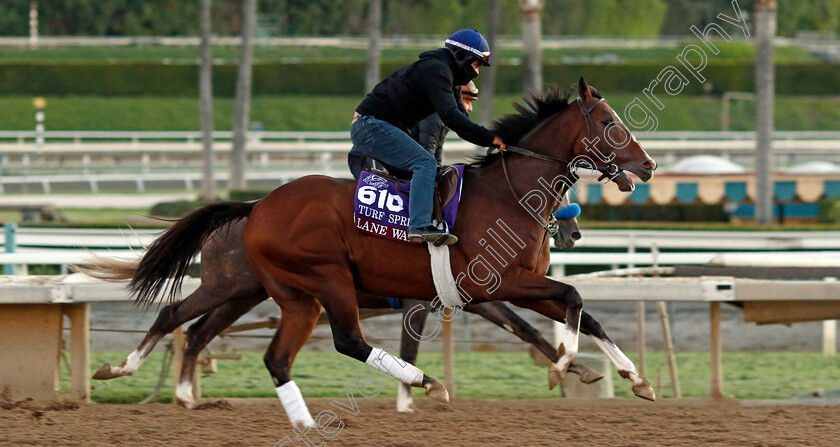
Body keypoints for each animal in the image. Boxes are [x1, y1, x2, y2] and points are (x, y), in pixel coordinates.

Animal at [105, 79, 660, 428]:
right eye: (608, 122)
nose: (649, 165)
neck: (508, 195)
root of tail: (258, 203)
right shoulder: (491, 285)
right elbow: (568, 299)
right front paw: (563, 366)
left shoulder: (493, 292)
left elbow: (575, 313)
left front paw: (631, 378)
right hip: (312, 279)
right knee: (200, 319)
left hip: (273, 292)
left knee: (229, 340)